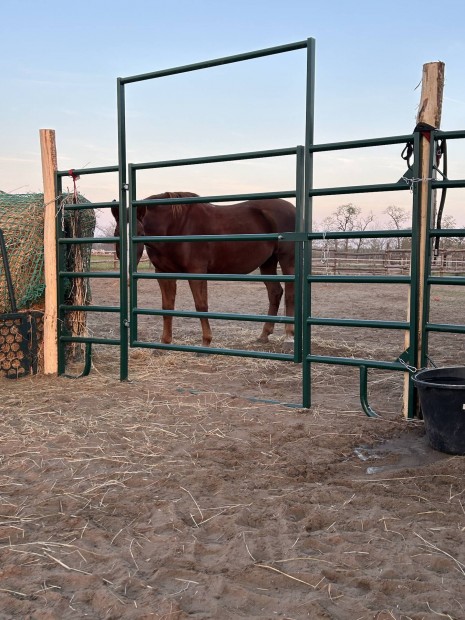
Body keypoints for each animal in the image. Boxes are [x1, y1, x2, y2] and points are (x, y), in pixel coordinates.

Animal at [111, 193, 296, 348]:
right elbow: (167, 307)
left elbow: (201, 305)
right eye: (116, 234)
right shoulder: (163, 273)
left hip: (287, 261)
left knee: (289, 294)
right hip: (267, 263)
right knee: (275, 293)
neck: (176, 226)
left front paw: (206, 342)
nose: (127, 275)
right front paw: (164, 343)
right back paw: (264, 335)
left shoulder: (196, 271)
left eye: (140, 234)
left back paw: (289, 336)